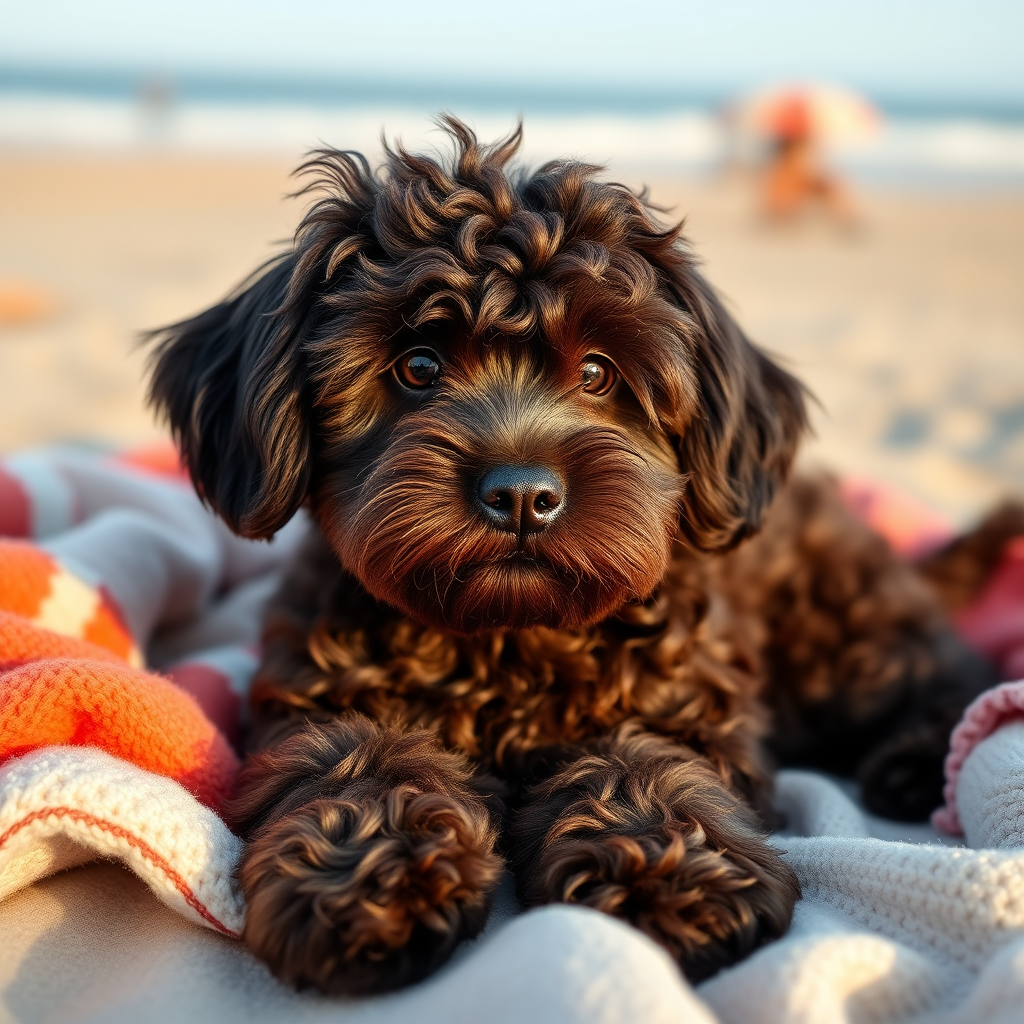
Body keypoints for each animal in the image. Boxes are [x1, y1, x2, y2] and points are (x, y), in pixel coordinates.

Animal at [144, 117, 1007, 991]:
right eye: (417, 366)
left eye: (597, 372)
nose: (522, 494)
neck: (508, 641)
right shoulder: (311, 696)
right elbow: (356, 754)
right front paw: (370, 871)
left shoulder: (690, 707)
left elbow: (639, 758)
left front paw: (668, 873)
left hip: (843, 636)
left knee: (950, 674)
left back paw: (916, 760)